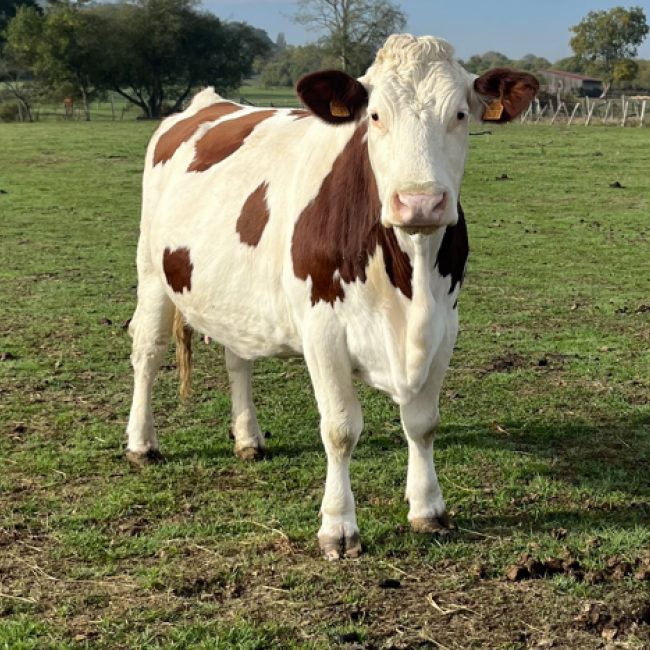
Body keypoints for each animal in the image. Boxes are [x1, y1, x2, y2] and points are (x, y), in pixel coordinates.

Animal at [125, 34, 538, 559]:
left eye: (461, 114)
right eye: (375, 115)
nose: (421, 202)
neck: (409, 282)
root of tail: (208, 102)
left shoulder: (446, 326)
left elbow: (423, 422)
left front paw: (428, 508)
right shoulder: (322, 330)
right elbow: (340, 429)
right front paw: (338, 527)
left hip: (235, 299)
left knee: (238, 359)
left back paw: (248, 438)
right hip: (151, 271)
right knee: (147, 351)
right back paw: (141, 444)